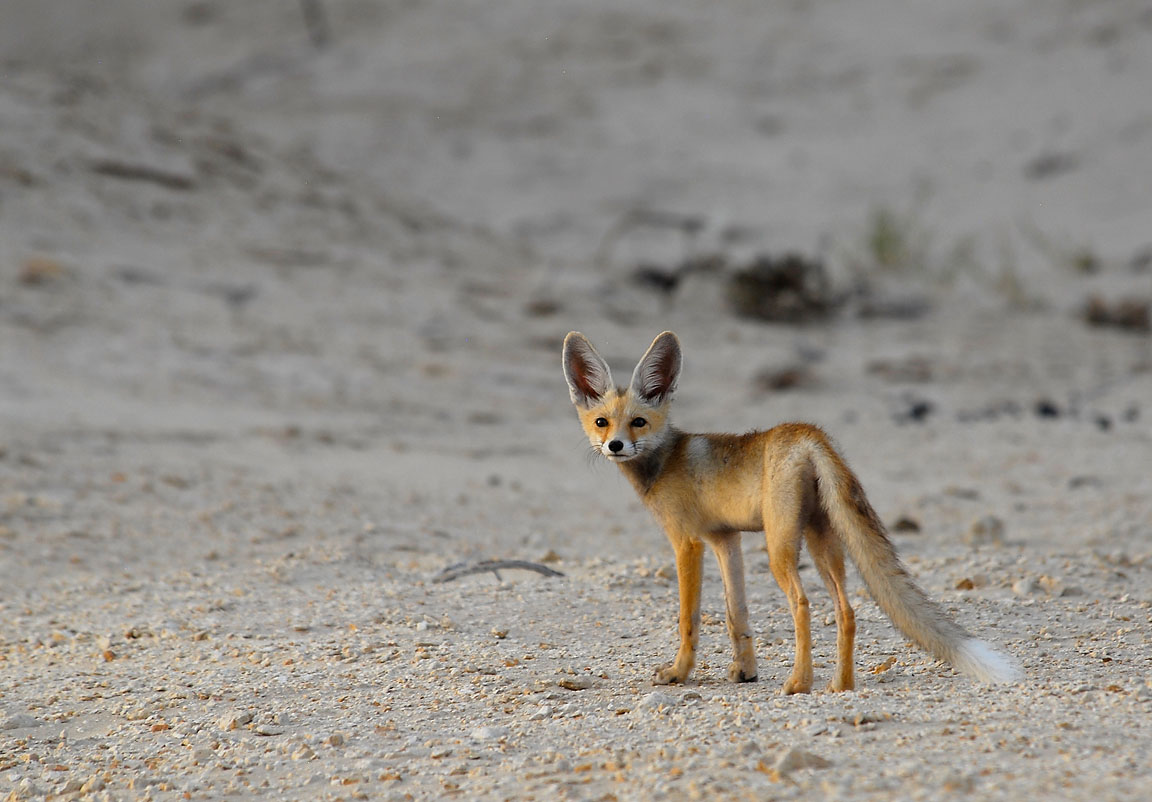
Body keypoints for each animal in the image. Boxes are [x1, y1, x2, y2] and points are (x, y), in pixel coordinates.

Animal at [562, 330, 1020, 693]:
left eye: (638, 422)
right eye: (602, 422)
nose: (615, 446)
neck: (665, 460)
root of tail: (808, 432)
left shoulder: (687, 542)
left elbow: (688, 619)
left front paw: (679, 673)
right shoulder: (725, 539)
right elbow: (737, 615)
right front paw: (745, 671)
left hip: (781, 549)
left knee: (803, 604)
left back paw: (800, 683)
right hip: (822, 542)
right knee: (846, 609)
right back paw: (841, 685)